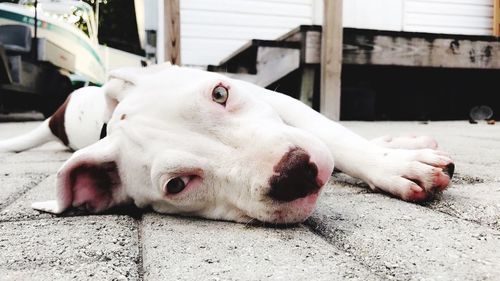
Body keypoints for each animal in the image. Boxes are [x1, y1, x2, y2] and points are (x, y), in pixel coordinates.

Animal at [0, 63, 454, 223]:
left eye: (220, 93)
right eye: (177, 185)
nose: (295, 172)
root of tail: (60, 112)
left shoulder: (280, 101)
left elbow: (336, 136)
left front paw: (396, 165)